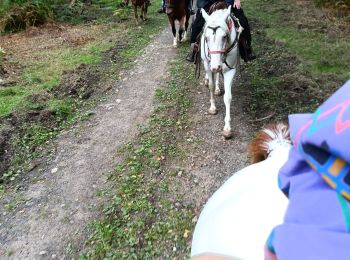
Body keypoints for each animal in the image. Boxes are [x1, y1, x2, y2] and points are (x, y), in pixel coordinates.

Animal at [201, 6, 242, 138]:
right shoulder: (208, 65)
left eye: (224, 37)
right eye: (206, 38)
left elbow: (228, 97)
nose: (215, 67)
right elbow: (211, 86)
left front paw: (227, 128)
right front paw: (213, 107)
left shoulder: (230, 70)